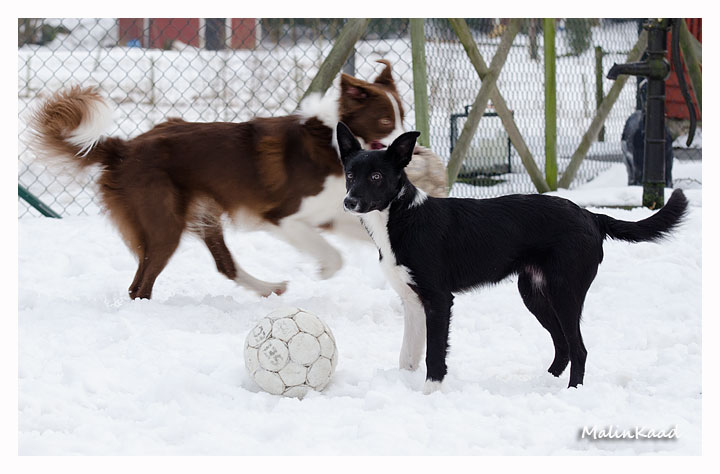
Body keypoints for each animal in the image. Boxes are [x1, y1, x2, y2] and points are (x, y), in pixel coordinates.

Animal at [29, 60, 445, 300]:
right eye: (386, 121)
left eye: (402, 114)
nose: (413, 149)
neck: (331, 143)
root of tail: (122, 148)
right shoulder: (283, 216)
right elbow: (333, 255)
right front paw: (325, 270)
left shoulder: (331, 212)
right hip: (164, 224)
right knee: (139, 286)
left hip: (201, 212)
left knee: (224, 265)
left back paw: (268, 289)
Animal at [336, 122, 688, 393]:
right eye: (350, 175)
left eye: (377, 176)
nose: (349, 202)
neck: (401, 215)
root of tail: (590, 215)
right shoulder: (412, 302)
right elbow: (407, 355)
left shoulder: (439, 299)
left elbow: (434, 354)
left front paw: (430, 394)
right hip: (534, 293)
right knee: (563, 345)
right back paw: (544, 382)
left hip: (565, 292)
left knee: (579, 348)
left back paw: (573, 391)